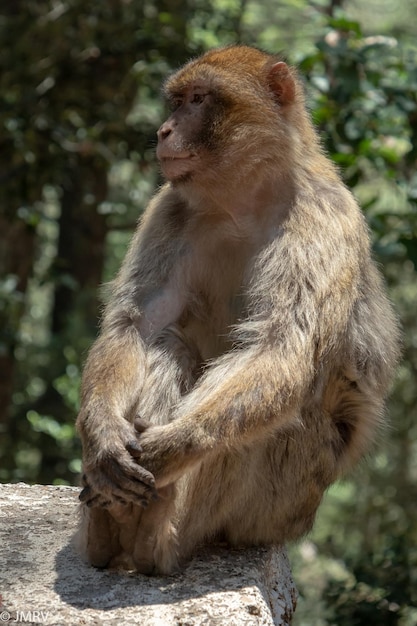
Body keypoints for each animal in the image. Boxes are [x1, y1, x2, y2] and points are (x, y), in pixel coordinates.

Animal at [75, 42, 400, 572]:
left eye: (199, 99)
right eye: (176, 101)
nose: (163, 131)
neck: (241, 203)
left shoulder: (323, 219)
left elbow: (280, 347)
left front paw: (168, 450)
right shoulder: (168, 208)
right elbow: (137, 325)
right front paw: (101, 436)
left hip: (280, 504)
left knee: (276, 413)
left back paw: (154, 533)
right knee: (167, 341)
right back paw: (113, 523)